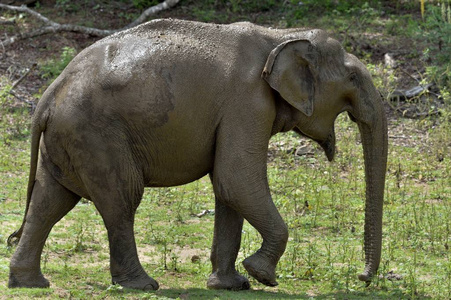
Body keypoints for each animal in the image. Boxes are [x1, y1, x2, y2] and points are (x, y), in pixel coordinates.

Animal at [7, 18, 388, 290]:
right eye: (352, 78)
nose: (362, 278)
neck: (280, 36)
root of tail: (49, 94)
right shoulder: (247, 102)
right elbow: (236, 178)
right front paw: (262, 276)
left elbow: (228, 186)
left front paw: (232, 285)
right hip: (97, 135)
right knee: (121, 199)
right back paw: (142, 285)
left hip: (69, 137)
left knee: (51, 199)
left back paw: (30, 283)